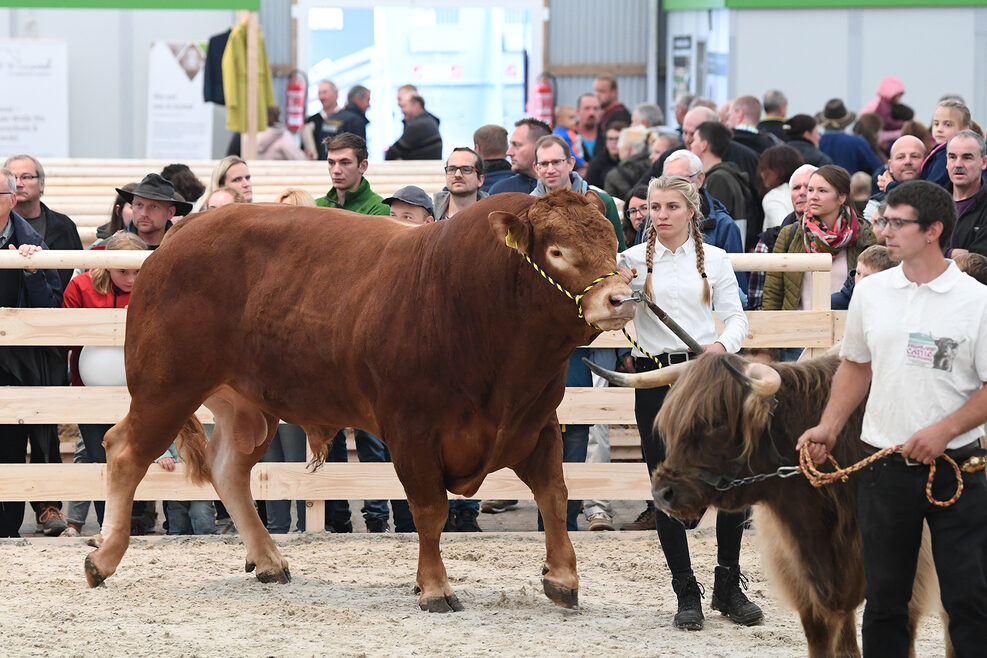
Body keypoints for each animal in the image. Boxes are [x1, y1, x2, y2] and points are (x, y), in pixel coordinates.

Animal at [89, 190, 636, 608]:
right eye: (557, 252)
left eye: (612, 243)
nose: (621, 298)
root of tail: (182, 232)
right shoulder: (412, 431)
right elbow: (430, 510)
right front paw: (434, 588)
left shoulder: (537, 423)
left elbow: (554, 494)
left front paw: (563, 579)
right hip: (166, 385)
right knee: (125, 450)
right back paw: (103, 557)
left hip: (247, 402)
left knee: (228, 469)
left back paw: (269, 560)